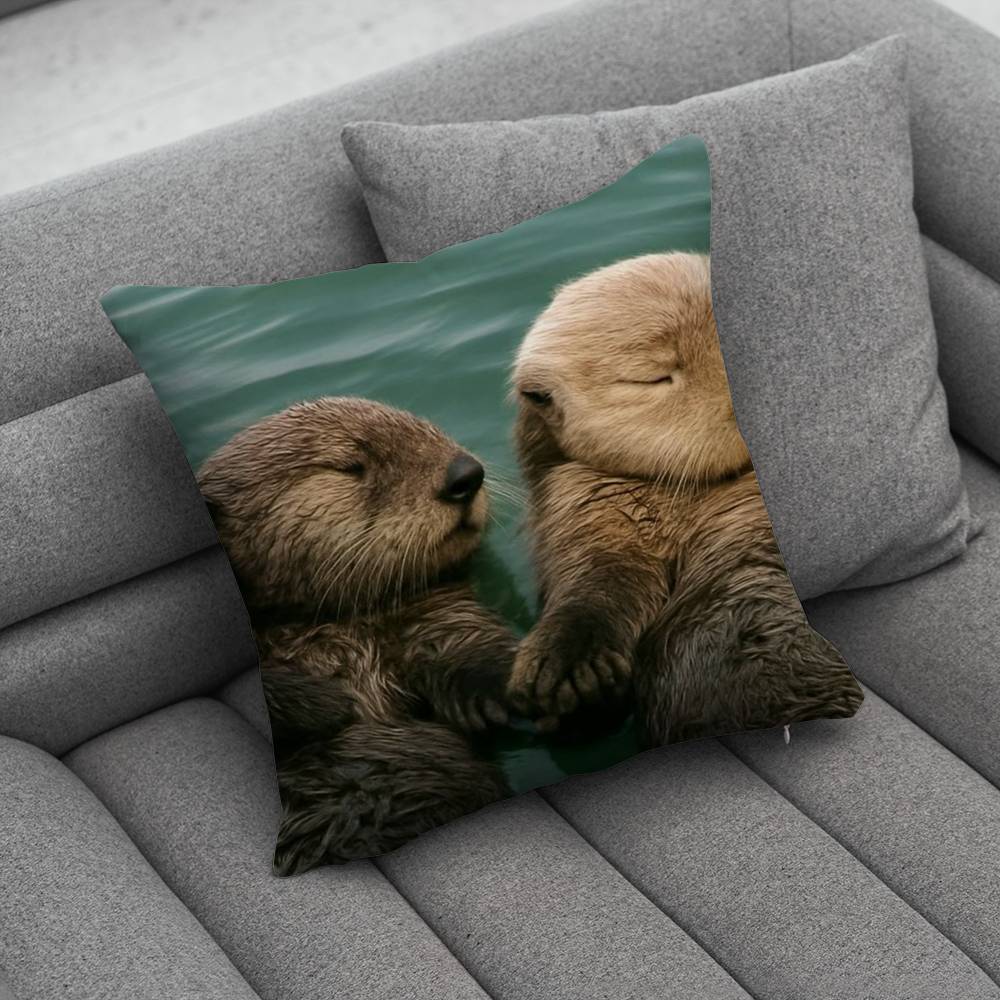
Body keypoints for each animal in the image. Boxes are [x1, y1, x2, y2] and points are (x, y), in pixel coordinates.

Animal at [198, 397, 517, 872]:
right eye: (350, 466)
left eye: (429, 427)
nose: (465, 474)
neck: (327, 627)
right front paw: (324, 703)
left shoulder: (426, 609)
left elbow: (457, 634)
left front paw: (499, 684)